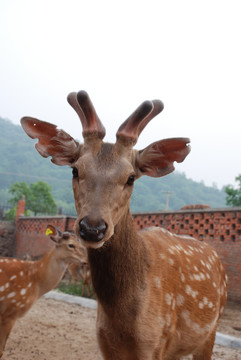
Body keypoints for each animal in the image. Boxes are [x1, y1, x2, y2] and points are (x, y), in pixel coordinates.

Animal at [0, 225, 85, 358]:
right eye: (71, 245)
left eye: (81, 242)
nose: (86, 259)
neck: (36, 280)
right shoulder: (10, 311)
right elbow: (1, 351)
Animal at [21, 91, 228, 358]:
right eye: (74, 170)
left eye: (131, 177)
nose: (92, 228)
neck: (122, 320)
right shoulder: (106, 343)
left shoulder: (154, 344)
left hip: (210, 331)